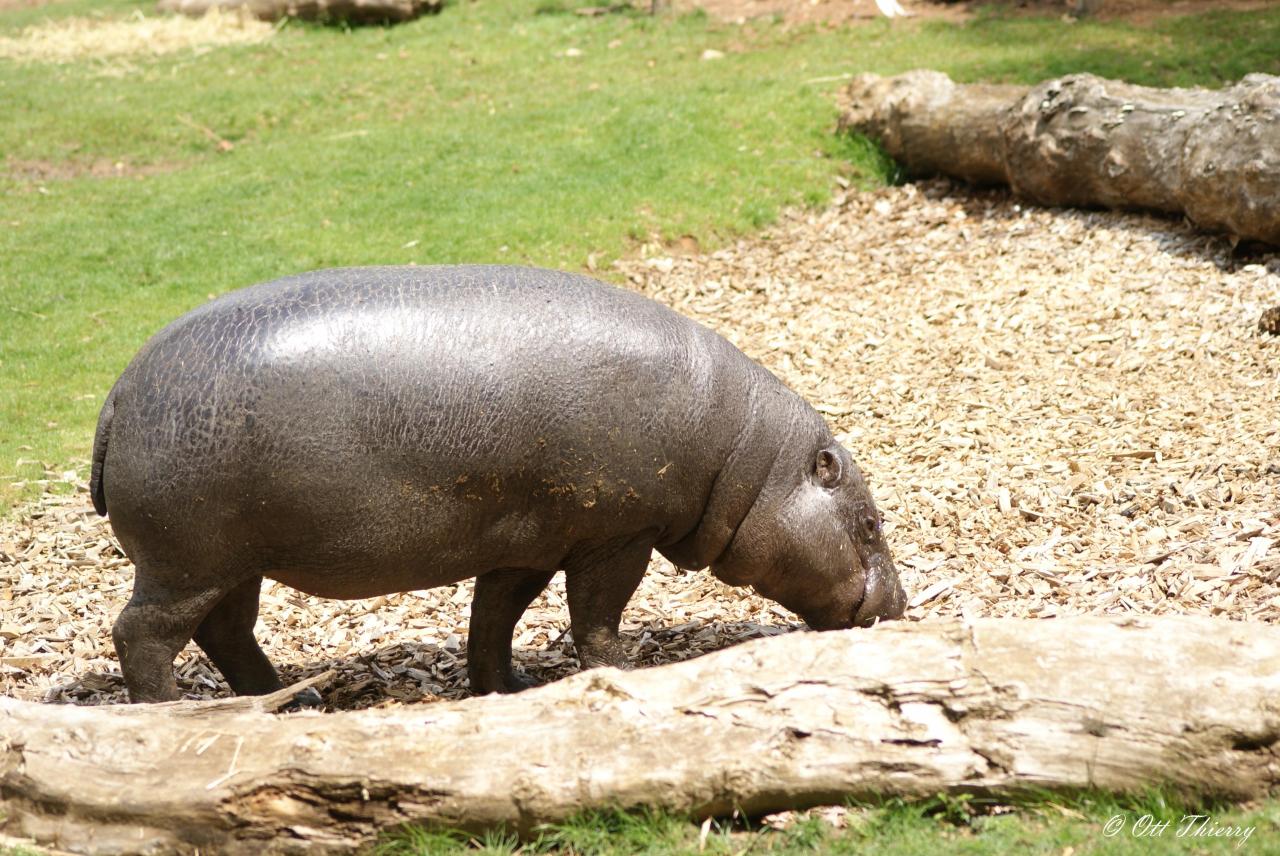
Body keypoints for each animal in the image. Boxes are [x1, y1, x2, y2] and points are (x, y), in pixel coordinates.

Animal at [90, 264, 906, 701]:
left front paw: (502, 689)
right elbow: (596, 619)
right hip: (187, 561)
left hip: (236, 561)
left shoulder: (526, 543)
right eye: (871, 523)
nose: (900, 607)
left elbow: (494, 619)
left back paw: (298, 700)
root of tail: (119, 393)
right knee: (143, 634)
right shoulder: (617, 536)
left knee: (227, 629)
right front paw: (620, 675)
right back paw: (179, 713)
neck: (747, 458)